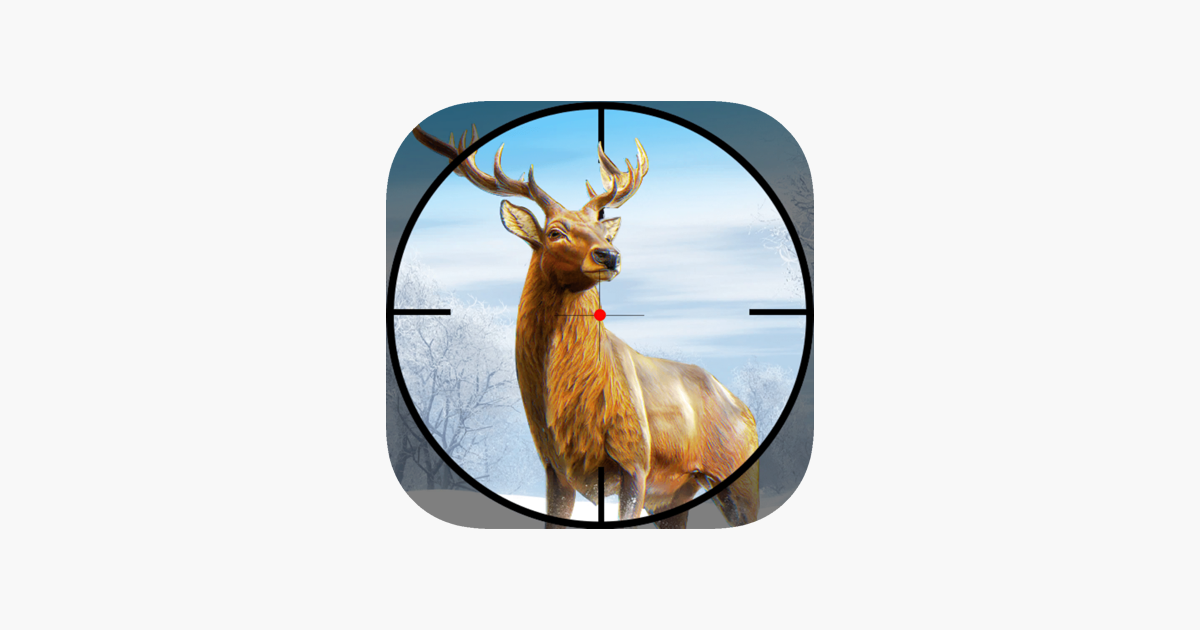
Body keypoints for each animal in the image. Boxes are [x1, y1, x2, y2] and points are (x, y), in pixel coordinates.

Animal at [412, 123, 759, 528]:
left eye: (604, 233)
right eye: (555, 232)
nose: (609, 255)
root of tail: (743, 408)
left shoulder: (635, 459)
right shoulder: (555, 467)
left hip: (737, 473)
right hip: (676, 492)